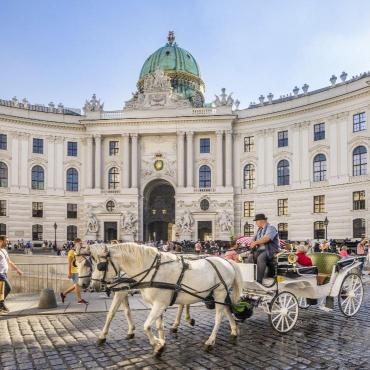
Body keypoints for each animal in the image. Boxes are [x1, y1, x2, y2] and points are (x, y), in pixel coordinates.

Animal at [89, 243, 243, 356]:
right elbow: (158, 325)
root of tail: (226, 260)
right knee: (227, 309)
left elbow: (146, 326)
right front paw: (161, 344)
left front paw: (156, 342)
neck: (151, 270)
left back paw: (210, 342)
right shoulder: (155, 304)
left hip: (220, 292)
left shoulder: (158, 303)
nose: (92, 286)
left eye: (101, 266)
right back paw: (234, 331)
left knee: (219, 316)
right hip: (220, 294)